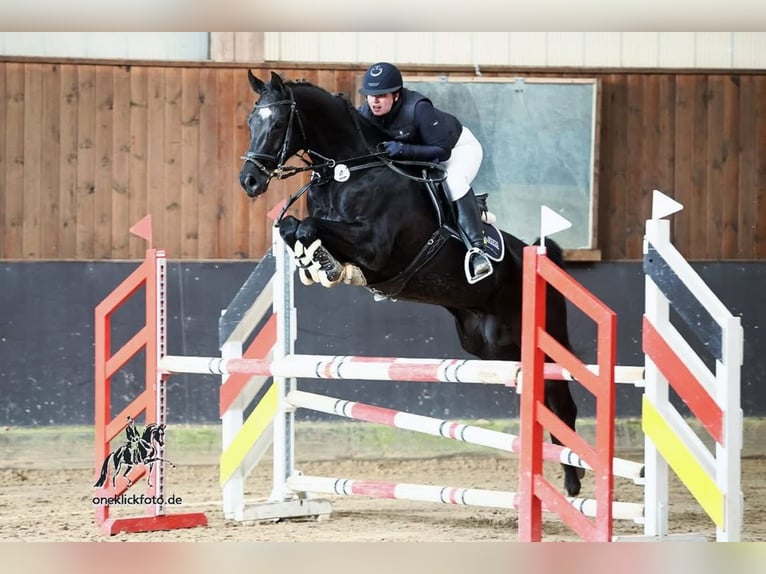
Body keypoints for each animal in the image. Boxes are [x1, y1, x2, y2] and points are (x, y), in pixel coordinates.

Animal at [239, 71, 584, 497]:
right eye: (251, 122)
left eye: (277, 125)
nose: (249, 180)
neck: (349, 170)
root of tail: (543, 260)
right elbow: (292, 226)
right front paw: (316, 264)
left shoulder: (375, 248)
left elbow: (310, 227)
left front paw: (328, 265)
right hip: (492, 346)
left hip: (539, 341)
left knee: (561, 403)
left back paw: (573, 481)